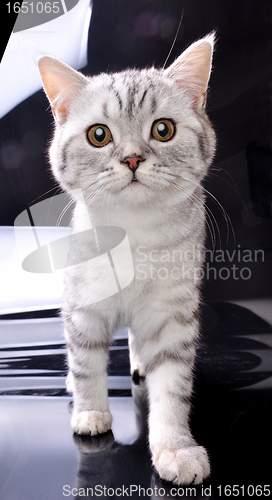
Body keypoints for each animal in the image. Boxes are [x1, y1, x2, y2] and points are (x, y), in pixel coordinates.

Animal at [38, 34, 217, 484]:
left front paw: (175, 449)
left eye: (163, 129)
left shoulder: (173, 313)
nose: (133, 158)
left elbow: (172, 388)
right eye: (99, 135)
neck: (132, 234)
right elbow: (87, 364)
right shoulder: (83, 307)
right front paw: (90, 413)